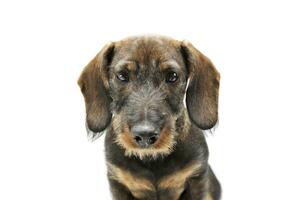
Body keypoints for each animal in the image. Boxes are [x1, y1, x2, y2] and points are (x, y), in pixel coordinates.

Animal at [77, 35, 220, 199]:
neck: (151, 159)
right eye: (122, 76)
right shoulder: (118, 183)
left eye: (172, 76)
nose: (145, 135)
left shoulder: (197, 179)